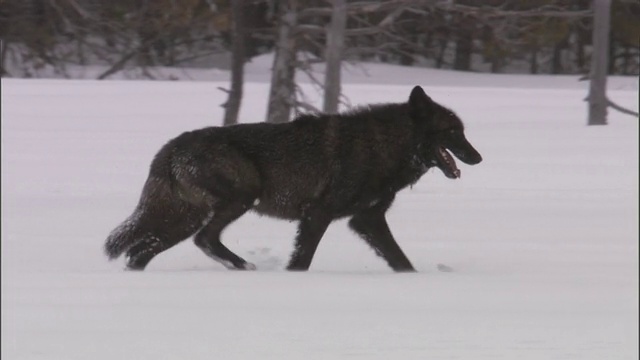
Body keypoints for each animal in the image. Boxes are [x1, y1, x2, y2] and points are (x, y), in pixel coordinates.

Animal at [104, 86, 480, 272]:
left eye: (463, 131)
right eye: (453, 132)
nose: (477, 157)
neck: (384, 146)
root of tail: (170, 147)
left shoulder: (367, 220)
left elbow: (400, 260)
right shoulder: (318, 215)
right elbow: (302, 260)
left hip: (186, 218)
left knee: (141, 251)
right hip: (239, 199)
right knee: (202, 240)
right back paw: (243, 266)